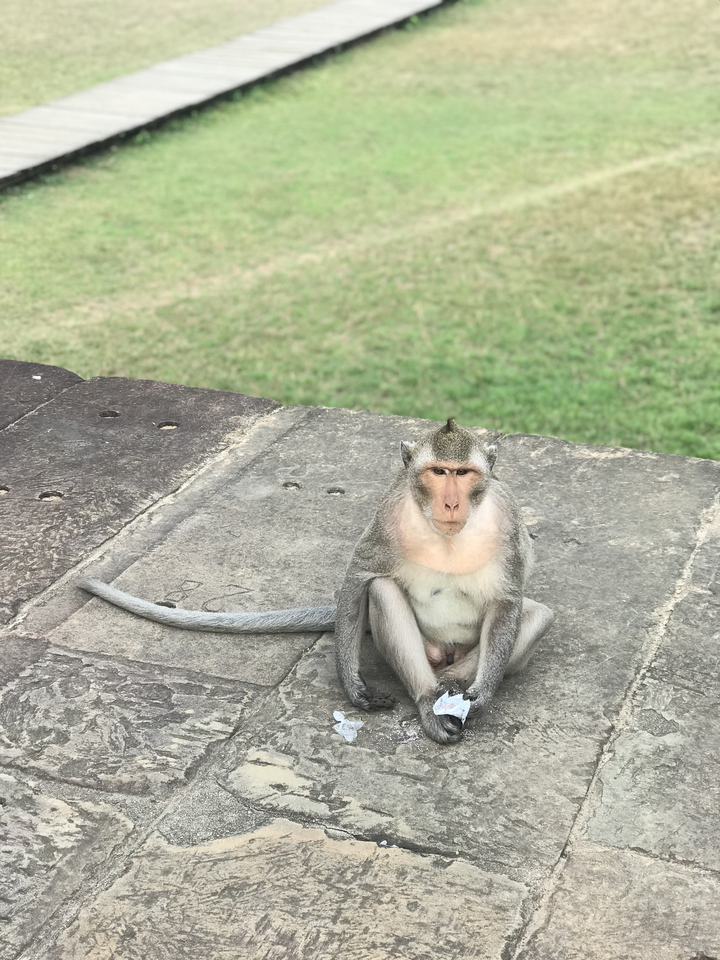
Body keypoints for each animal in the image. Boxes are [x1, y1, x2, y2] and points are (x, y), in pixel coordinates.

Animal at [78, 419, 552, 745]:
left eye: (463, 473)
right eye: (438, 472)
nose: (451, 503)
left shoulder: (507, 519)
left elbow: (509, 599)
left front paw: (482, 695)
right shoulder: (389, 512)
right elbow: (360, 576)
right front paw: (351, 683)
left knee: (537, 615)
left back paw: (453, 684)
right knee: (381, 590)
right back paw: (427, 701)